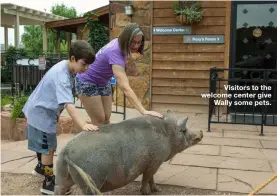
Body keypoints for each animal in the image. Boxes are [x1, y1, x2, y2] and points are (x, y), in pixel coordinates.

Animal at [54, 110, 203, 194]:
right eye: (184, 130)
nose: (201, 133)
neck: (167, 134)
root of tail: (66, 152)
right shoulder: (154, 162)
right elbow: (146, 178)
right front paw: (146, 193)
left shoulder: (153, 163)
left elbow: (151, 178)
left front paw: (157, 190)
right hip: (91, 180)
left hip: (61, 176)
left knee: (59, 189)